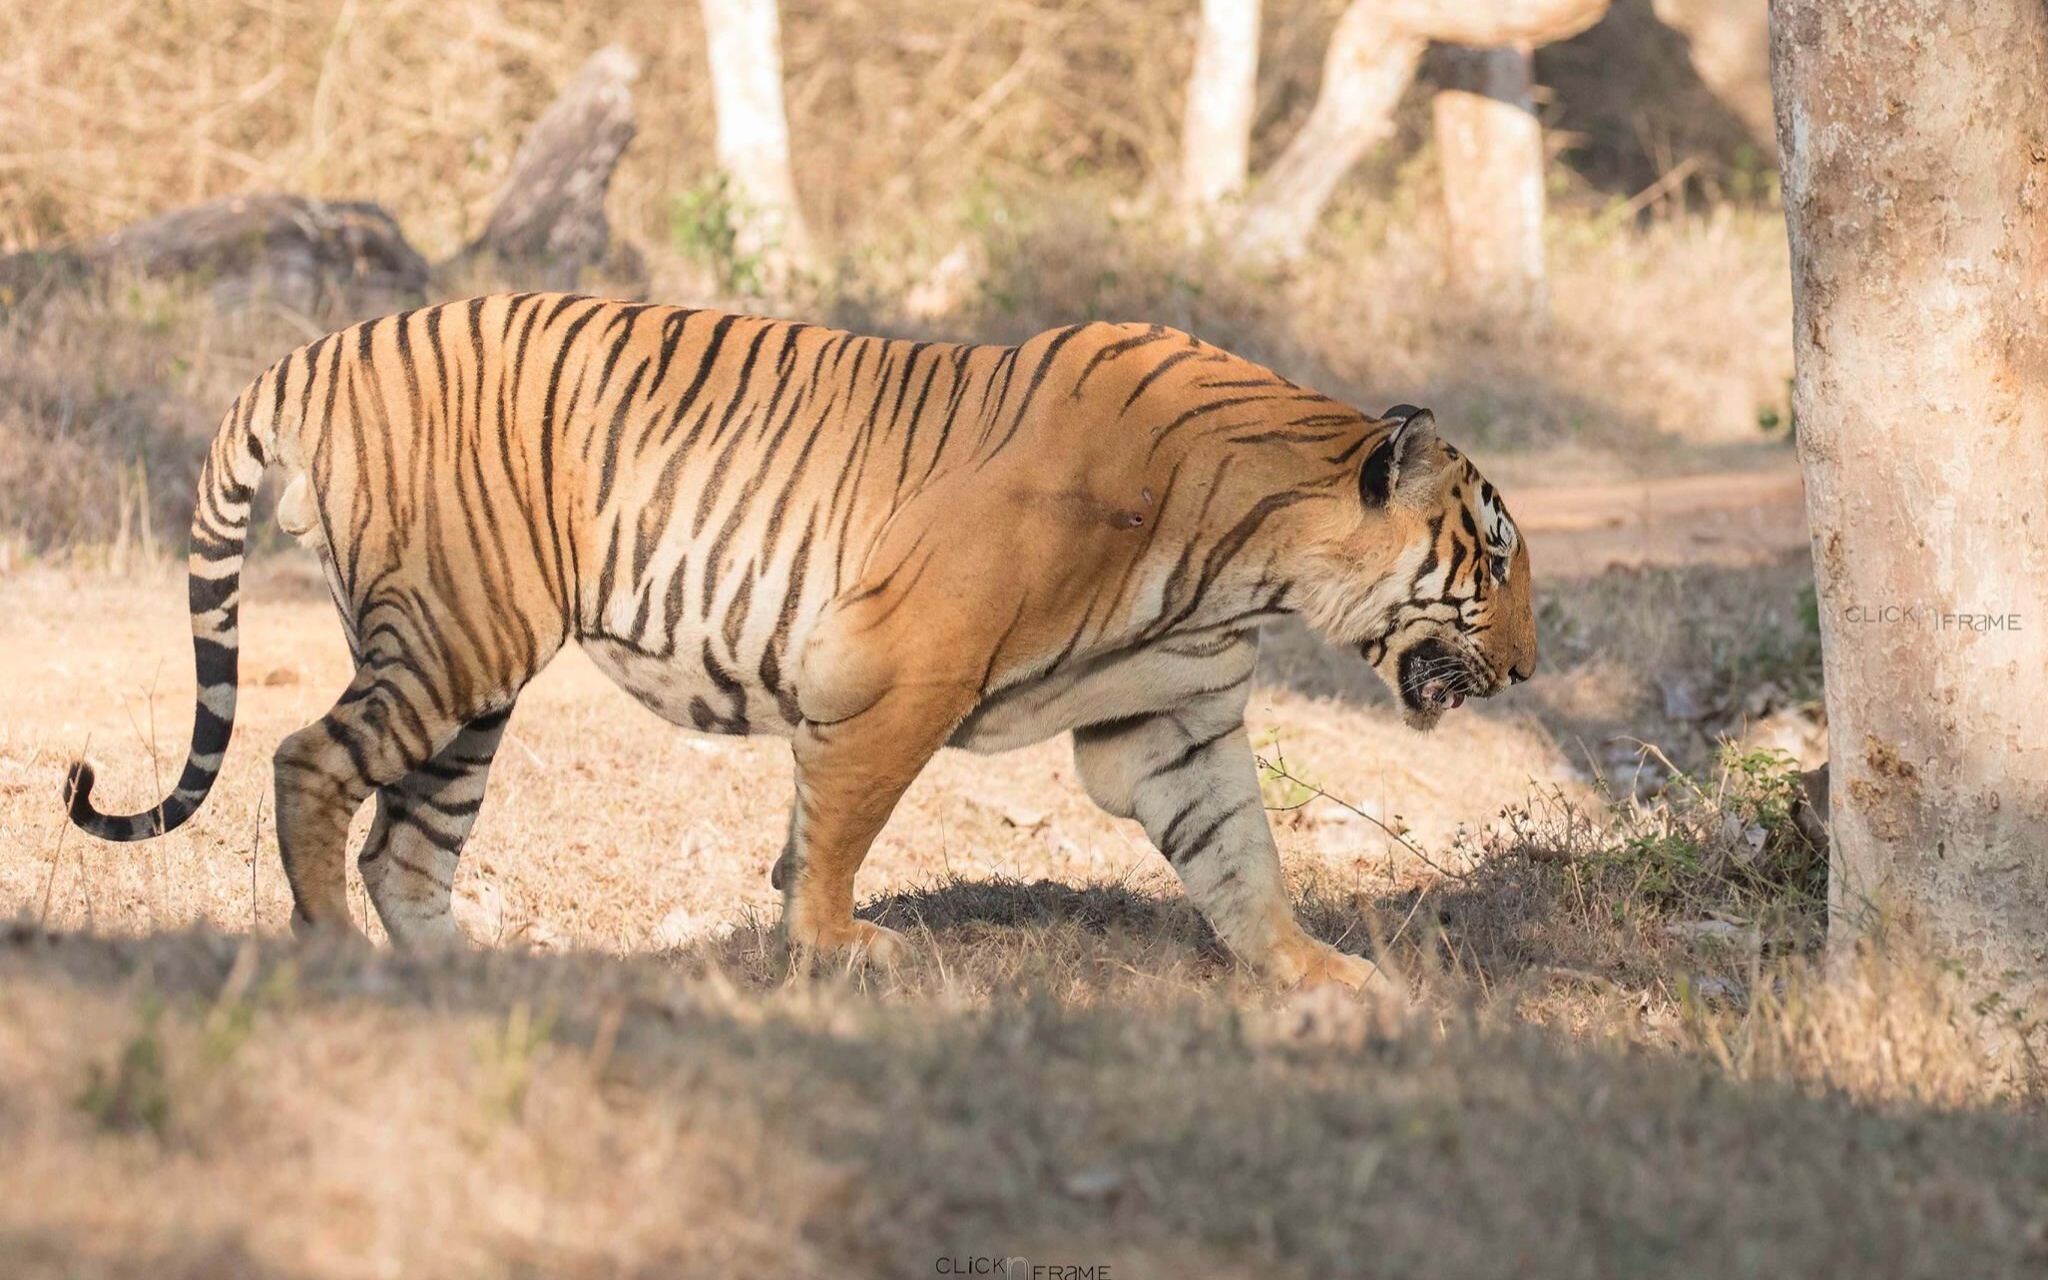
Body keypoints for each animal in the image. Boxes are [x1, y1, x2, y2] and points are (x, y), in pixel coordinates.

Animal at [64, 296, 1540, 987]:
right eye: (1495, 558)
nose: (1530, 670)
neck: (1250, 563)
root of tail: (315, 348)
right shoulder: (902, 669)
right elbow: (843, 822)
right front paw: (833, 946)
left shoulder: (1169, 721)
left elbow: (1242, 858)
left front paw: (1324, 980)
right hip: (458, 630)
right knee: (307, 765)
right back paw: (334, 953)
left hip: (470, 672)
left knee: (406, 845)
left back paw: (460, 979)